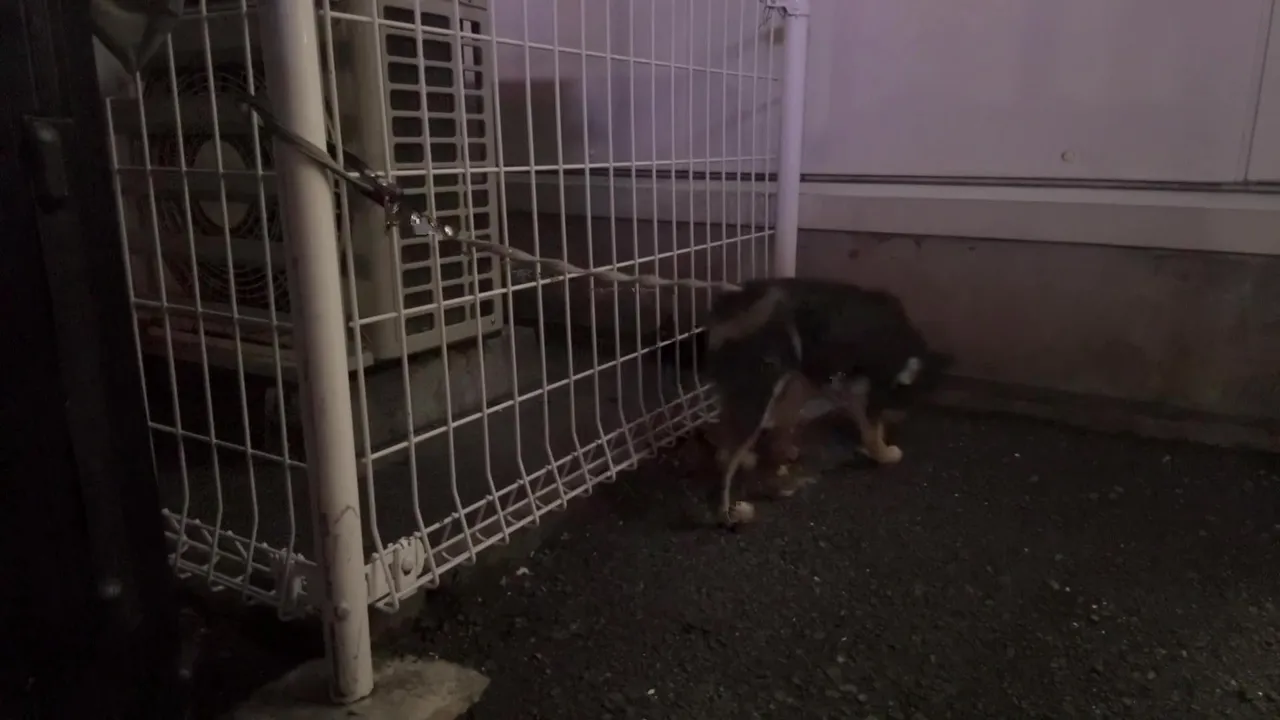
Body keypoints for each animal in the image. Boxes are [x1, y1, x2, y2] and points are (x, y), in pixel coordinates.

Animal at [701, 278, 952, 527]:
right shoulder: (860, 389)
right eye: (899, 401)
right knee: (728, 460)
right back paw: (730, 510)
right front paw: (884, 454)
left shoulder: (834, 381)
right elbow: (871, 431)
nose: (898, 415)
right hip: (766, 388)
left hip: (786, 381)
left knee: (728, 437)